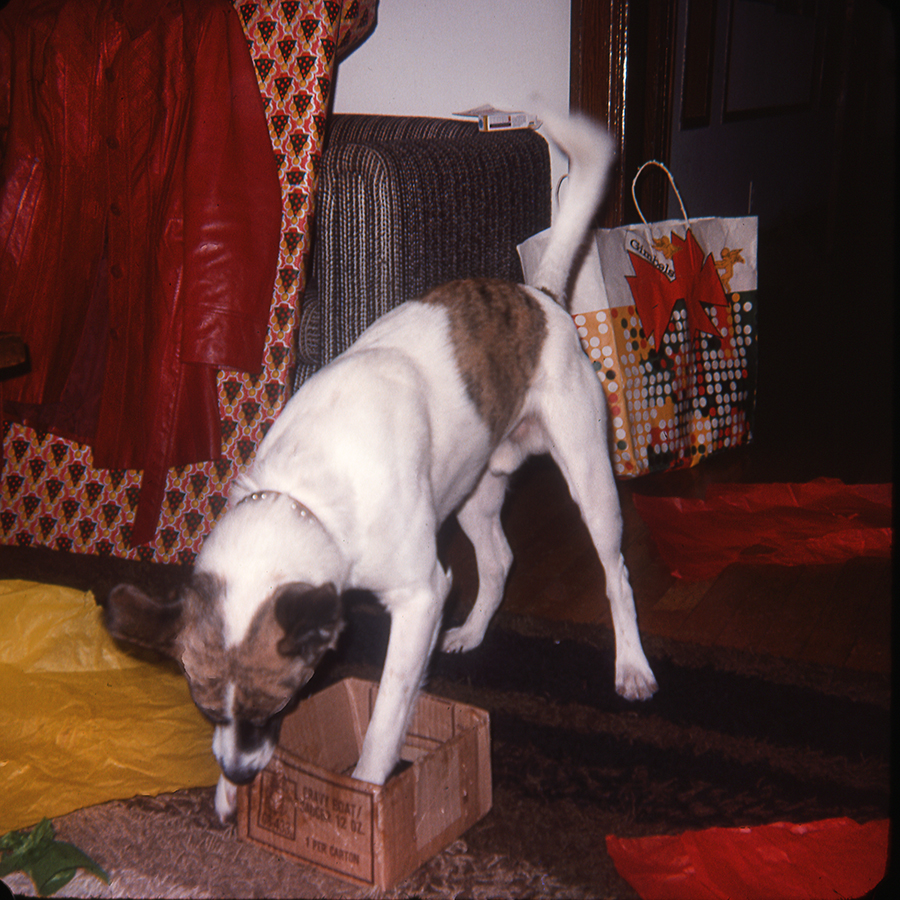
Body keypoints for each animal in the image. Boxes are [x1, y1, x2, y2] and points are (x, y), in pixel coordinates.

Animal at [105, 109, 656, 820]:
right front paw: (229, 795)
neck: (307, 494)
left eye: (279, 703)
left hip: (589, 474)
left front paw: (368, 788)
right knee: (500, 559)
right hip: (473, 487)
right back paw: (473, 631)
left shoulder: (420, 596)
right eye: (206, 712)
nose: (240, 773)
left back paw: (632, 666)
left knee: (616, 573)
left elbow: (389, 713)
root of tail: (540, 298)